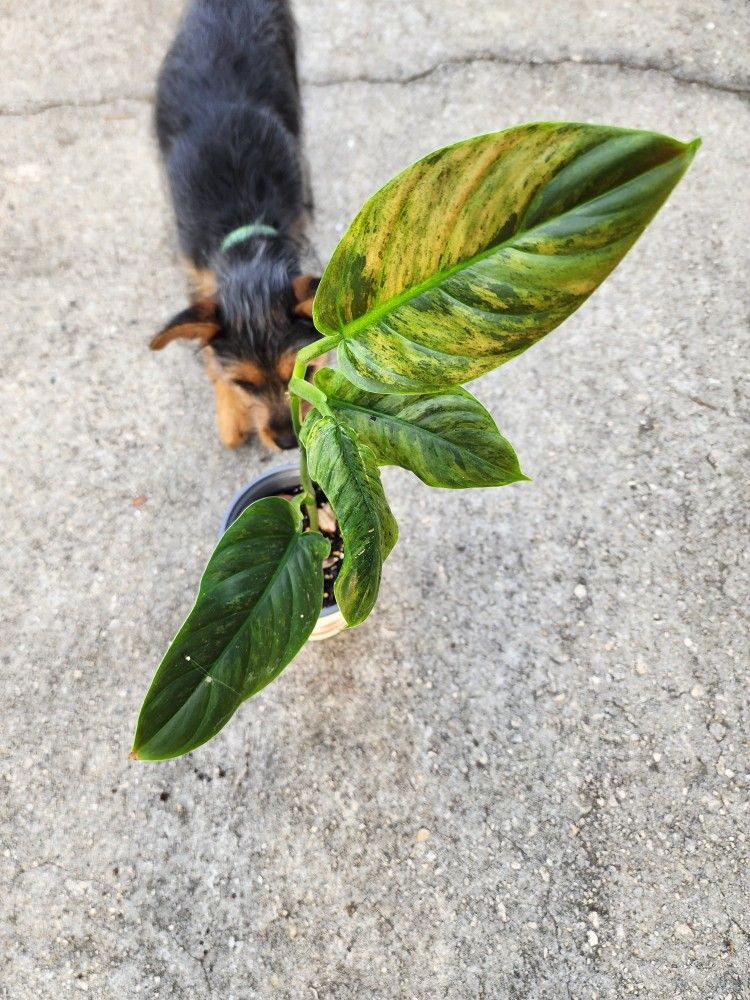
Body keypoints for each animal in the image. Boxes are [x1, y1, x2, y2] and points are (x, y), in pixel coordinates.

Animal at [151, 0, 322, 448]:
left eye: (305, 371)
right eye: (244, 384)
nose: (286, 442)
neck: (249, 243)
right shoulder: (197, 269)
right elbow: (211, 355)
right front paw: (229, 411)